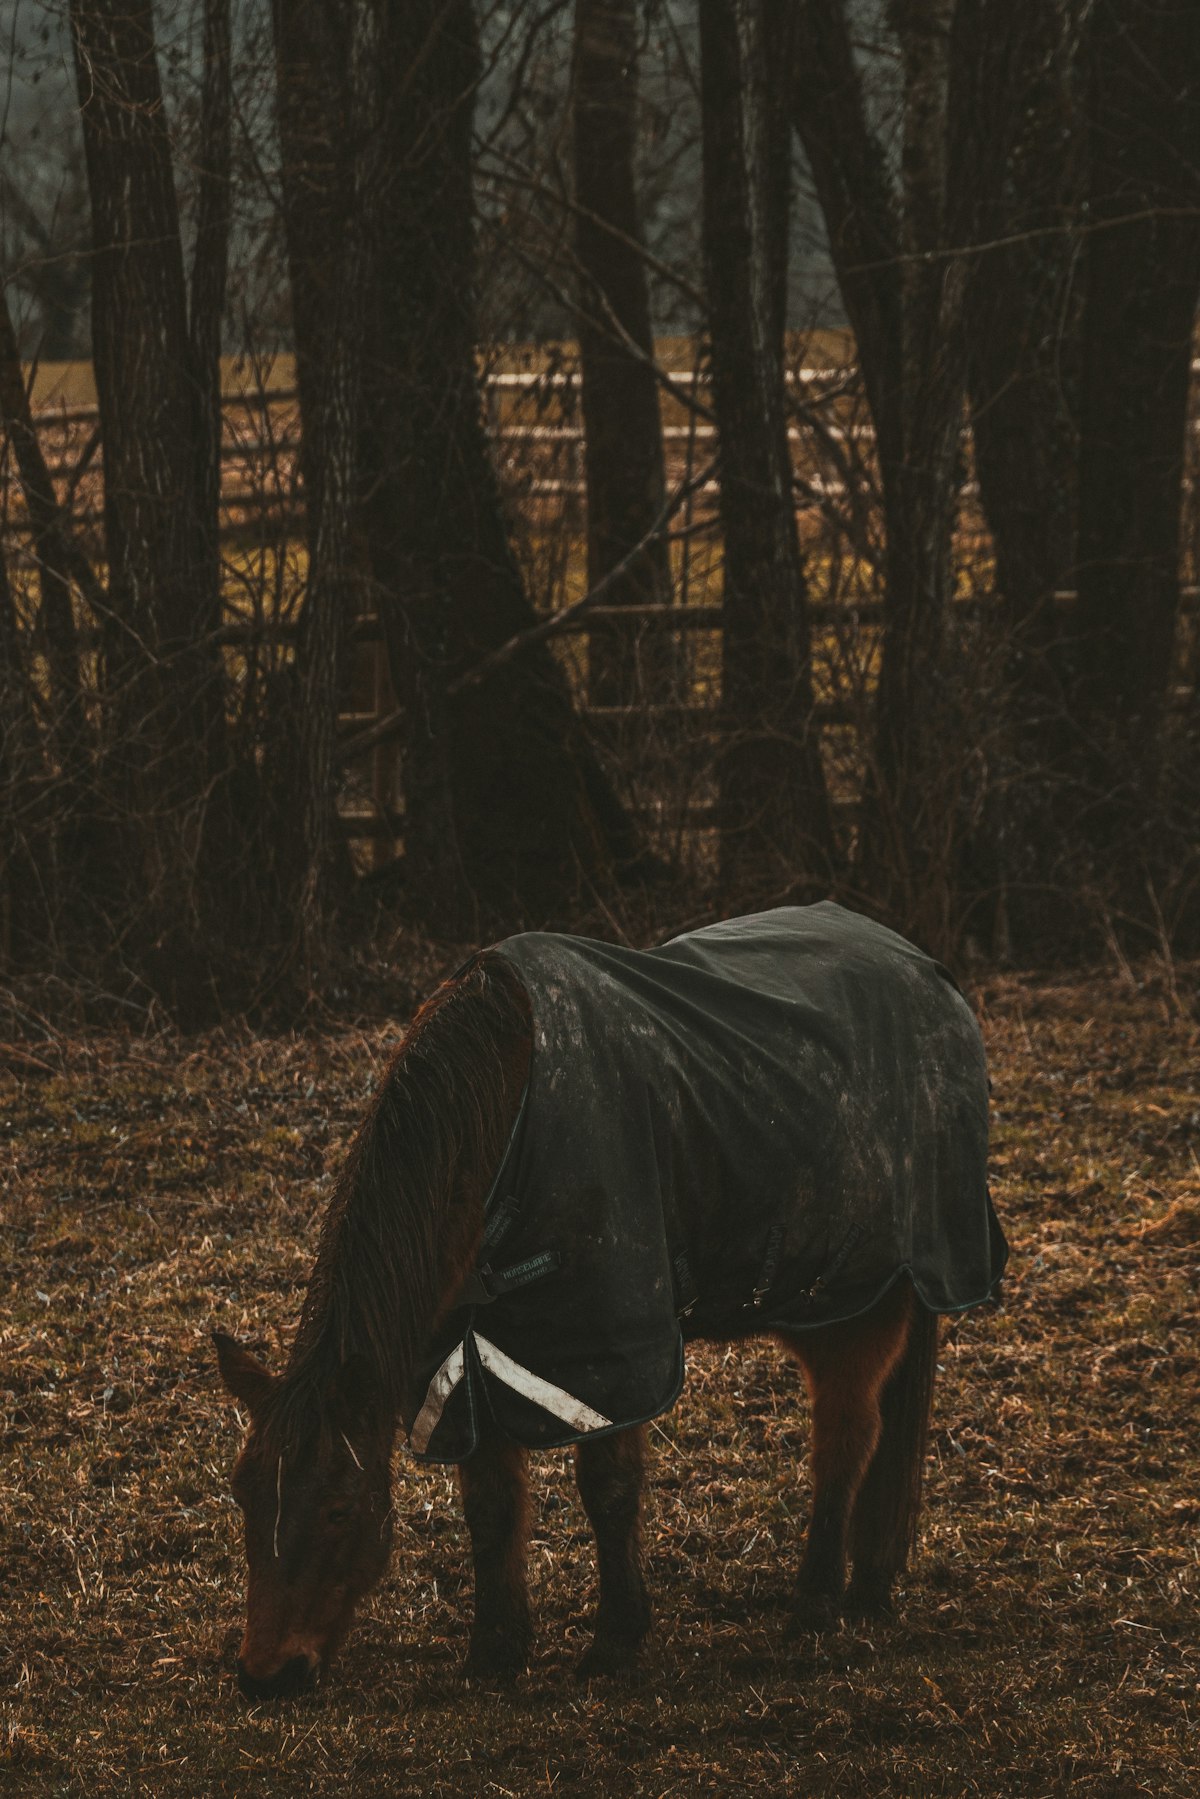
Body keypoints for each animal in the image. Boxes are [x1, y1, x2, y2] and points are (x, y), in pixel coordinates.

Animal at [215, 903, 1006, 1700]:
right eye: (244, 1494)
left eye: (339, 1506)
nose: (265, 1674)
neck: (503, 1125)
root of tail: (924, 970)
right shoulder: (472, 1361)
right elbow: (490, 1508)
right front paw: (496, 1650)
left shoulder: (609, 1353)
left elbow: (609, 1490)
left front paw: (616, 1639)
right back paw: (868, 1584)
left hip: (850, 1309)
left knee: (845, 1440)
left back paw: (816, 1600)